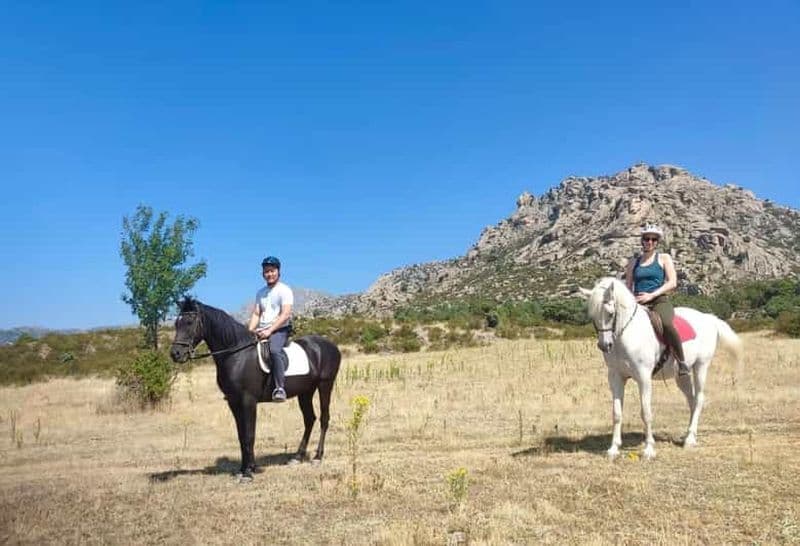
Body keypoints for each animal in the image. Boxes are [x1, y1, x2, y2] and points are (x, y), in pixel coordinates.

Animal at [169, 297, 341, 479]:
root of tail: (330, 346)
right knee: (309, 419)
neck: (237, 355)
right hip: (305, 392)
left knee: (324, 418)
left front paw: (248, 473)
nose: (175, 354)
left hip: (325, 385)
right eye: (176, 323)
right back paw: (297, 457)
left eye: (189, 322)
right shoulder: (234, 402)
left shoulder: (248, 401)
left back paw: (317, 457)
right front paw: (244, 469)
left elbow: (249, 435)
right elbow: (241, 436)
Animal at [579, 277, 743, 460]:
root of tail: (709, 318)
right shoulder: (615, 377)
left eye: (610, 313)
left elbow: (646, 412)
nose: (604, 345)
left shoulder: (643, 378)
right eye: (592, 316)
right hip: (682, 376)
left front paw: (649, 449)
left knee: (699, 398)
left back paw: (690, 440)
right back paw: (689, 435)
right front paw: (613, 449)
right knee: (692, 400)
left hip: (701, 366)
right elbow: (616, 413)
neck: (626, 335)